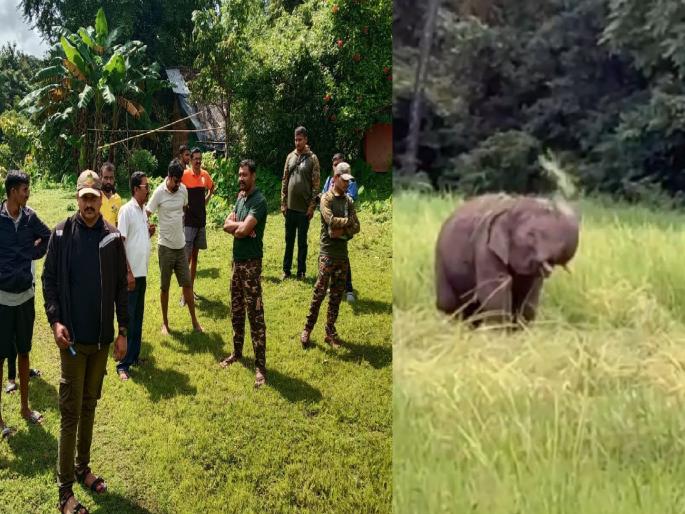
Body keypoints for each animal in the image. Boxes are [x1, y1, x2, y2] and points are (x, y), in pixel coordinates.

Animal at [434, 193, 580, 326]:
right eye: (531, 235)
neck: (512, 207)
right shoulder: (485, 246)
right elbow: (495, 289)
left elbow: (529, 294)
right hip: (441, 257)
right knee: (448, 303)